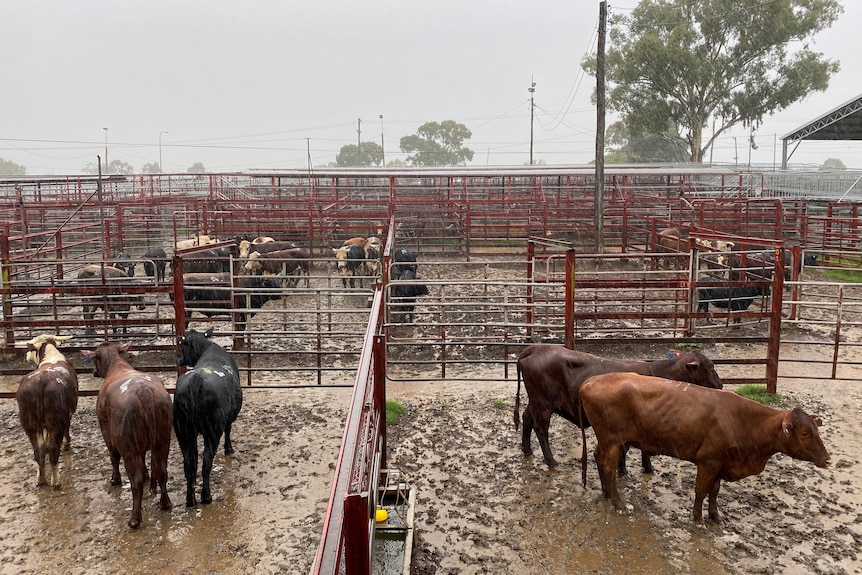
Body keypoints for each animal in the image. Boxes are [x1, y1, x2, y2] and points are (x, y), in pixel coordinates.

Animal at [15, 336, 78, 488]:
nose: (26, 355)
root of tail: (40, 381)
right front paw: (67, 444)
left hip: (30, 424)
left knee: (39, 450)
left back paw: (41, 478)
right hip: (55, 423)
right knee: (52, 449)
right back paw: (56, 480)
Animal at [81, 342, 174, 532]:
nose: (93, 372)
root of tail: (143, 391)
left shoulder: (107, 434)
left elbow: (113, 457)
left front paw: (114, 479)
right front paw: (146, 474)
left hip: (128, 447)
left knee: (135, 481)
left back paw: (134, 520)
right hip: (163, 440)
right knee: (162, 471)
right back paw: (165, 503)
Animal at [174, 330, 243, 506]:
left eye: (183, 347)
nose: (178, 359)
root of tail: (196, 379)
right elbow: (228, 430)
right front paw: (229, 449)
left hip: (183, 432)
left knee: (189, 465)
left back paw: (190, 499)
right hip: (212, 432)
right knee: (206, 463)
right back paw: (206, 496)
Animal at [516, 346, 724, 472]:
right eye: (710, 367)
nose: (720, 385)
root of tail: (536, 348)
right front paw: (631, 468)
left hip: (535, 402)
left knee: (526, 418)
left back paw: (527, 450)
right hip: (543, 405)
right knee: (541, 429)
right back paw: (550, 461)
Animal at [576, 376, 832, 524]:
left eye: (816, 430)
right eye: (805, 433)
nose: (829, 460)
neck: (744, 421)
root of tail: (591, 381)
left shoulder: (721, 463)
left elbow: (714, 492)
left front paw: (715, 516)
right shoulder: (708, 462)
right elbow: (701, 490)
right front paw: (698, 518)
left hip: (610, 441)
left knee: (599, 459)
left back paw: (606, 493)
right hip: (612, 440)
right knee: (608, 467)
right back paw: (619, 503)